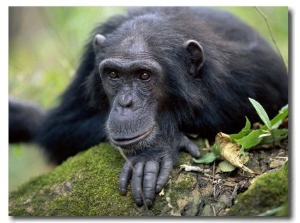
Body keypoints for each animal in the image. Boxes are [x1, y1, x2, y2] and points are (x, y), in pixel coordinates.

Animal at [9, 7, 288, 207]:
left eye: (144, 75)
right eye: (113, 74)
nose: (125, 103)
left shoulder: (243, 80)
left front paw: (156, 148)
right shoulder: (89, 64)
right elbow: (59, 130)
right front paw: (155, 147)